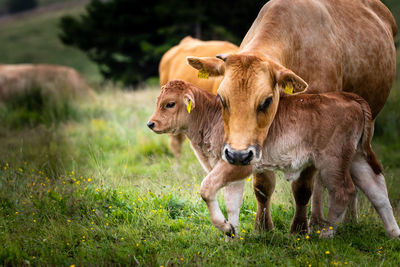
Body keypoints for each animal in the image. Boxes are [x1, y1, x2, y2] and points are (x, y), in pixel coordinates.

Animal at [147, 79, 400, 239]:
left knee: (344, 191)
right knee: (376, 188)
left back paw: (326, 235)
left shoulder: (236, 164)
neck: (210, 118)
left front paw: (225, 229)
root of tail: (349, 97)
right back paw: (393, 233)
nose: (151, 123)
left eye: (170, 103)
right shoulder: (232, 171)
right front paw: (231, 236)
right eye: (158, 101)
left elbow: (207, 189)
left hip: (333, 161)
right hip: (357, 156)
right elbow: (232, 203)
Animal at [185, 0, 396, 234]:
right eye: (222, 98)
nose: (237, 155)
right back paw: (320, 220)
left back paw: (342, 221)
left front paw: (299, 228)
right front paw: (263, 227)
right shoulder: (260, 143)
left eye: (266, 101)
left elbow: (303, 188)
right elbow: (262, 185)